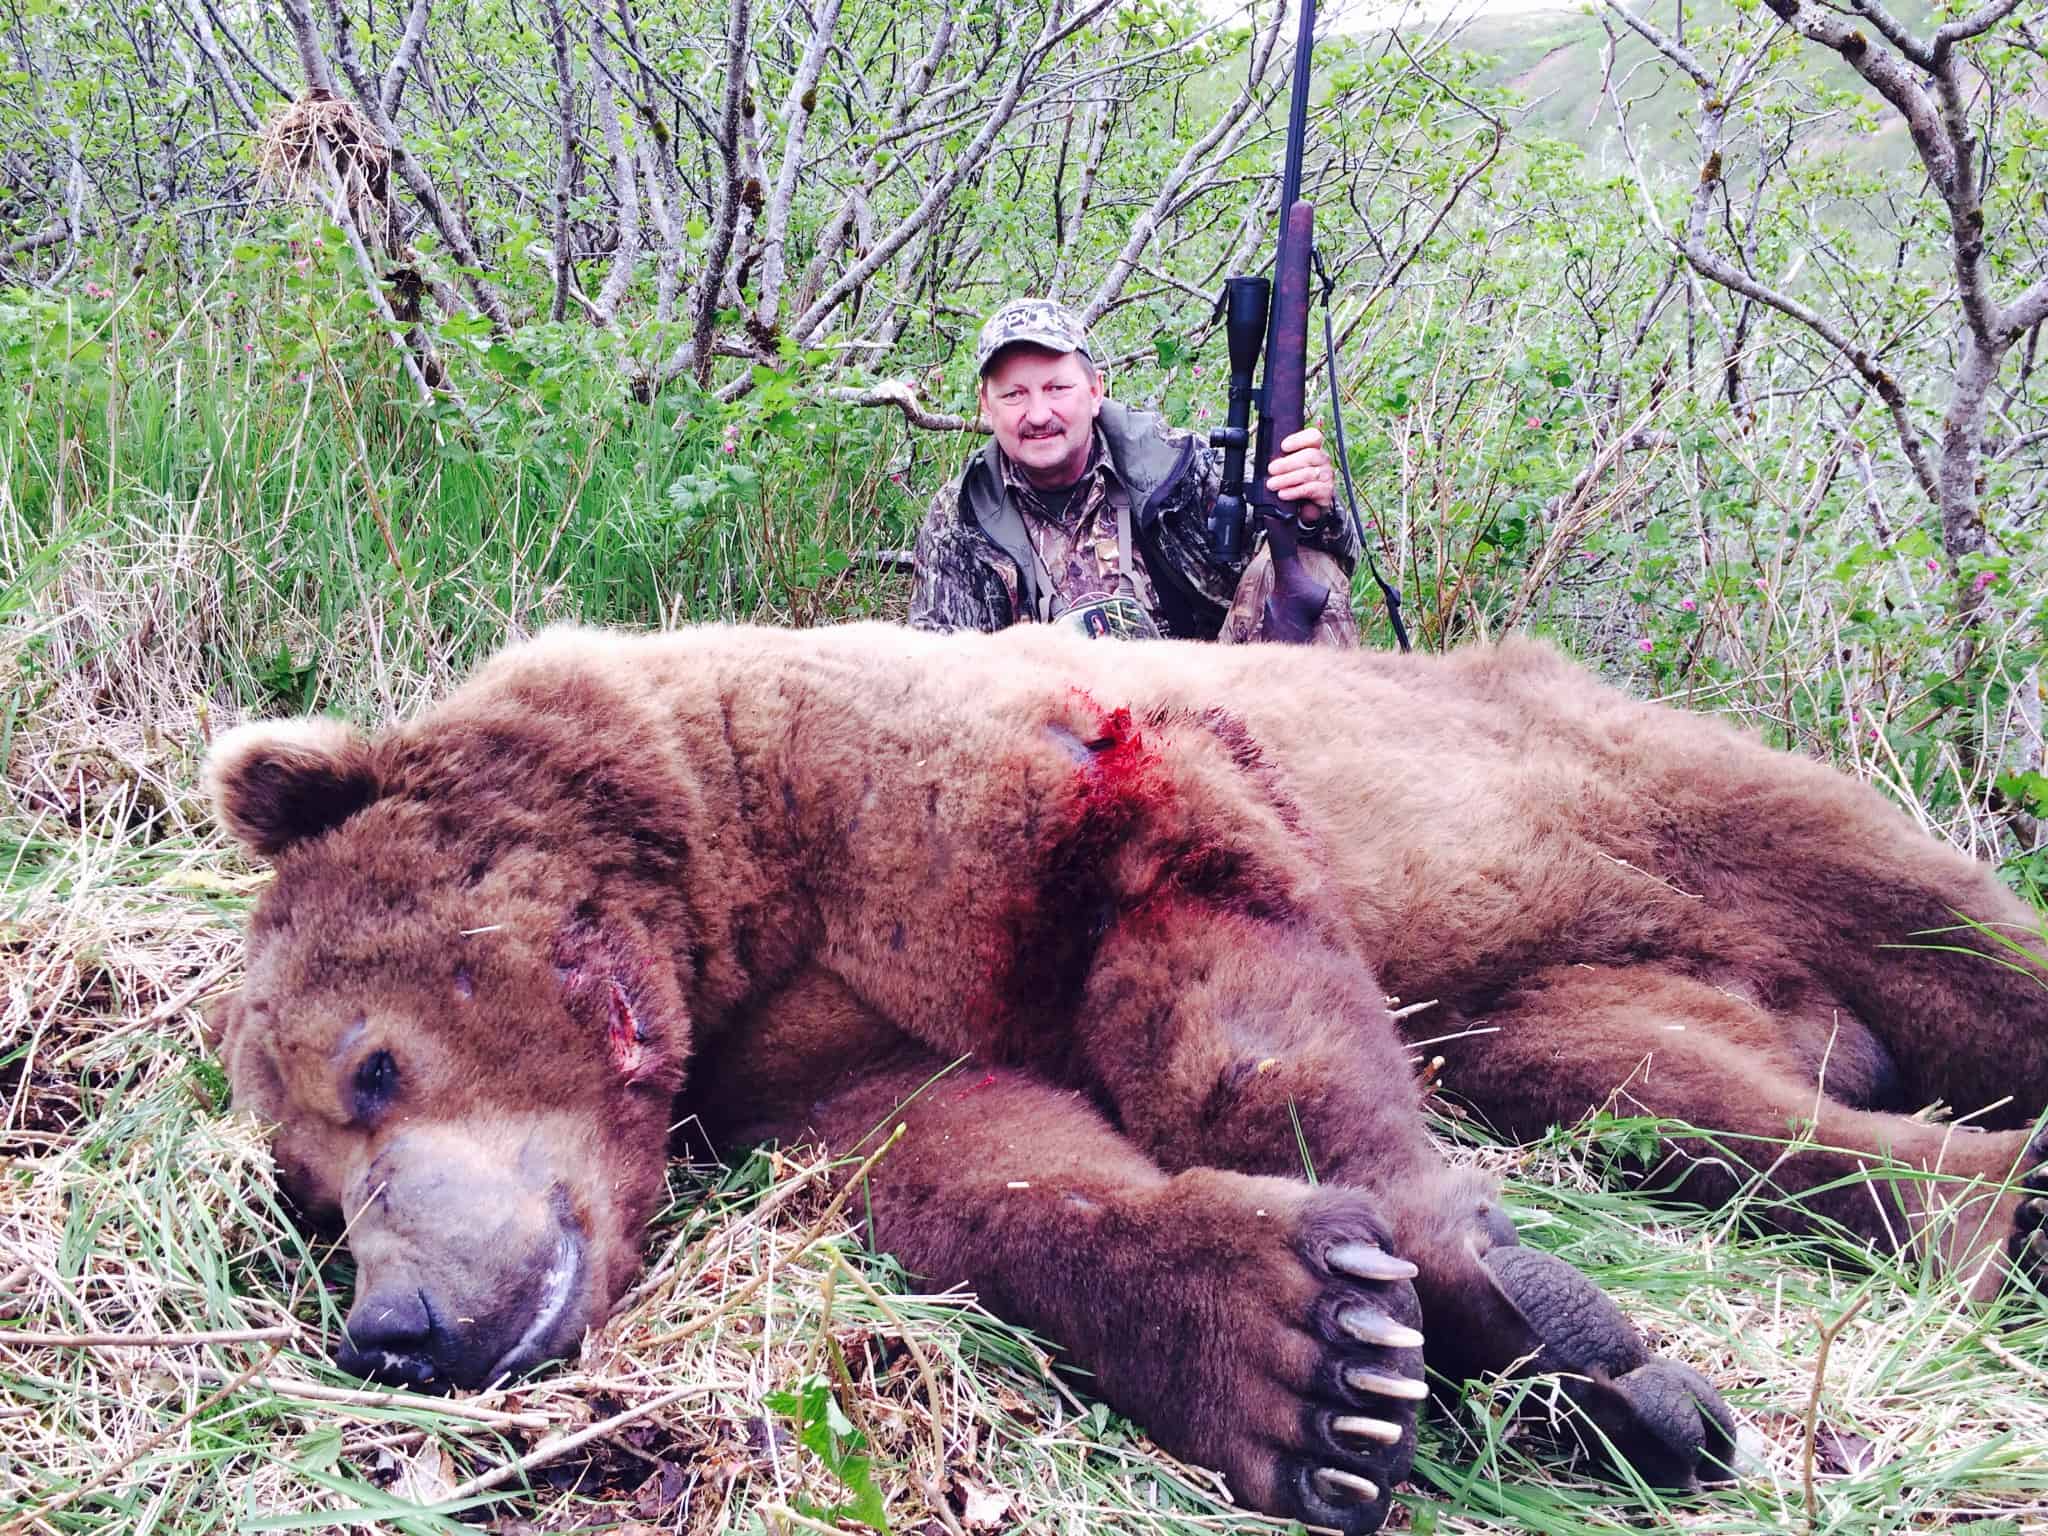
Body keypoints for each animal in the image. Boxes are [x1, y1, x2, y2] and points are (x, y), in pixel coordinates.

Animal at [203, 621, 2048, 1535]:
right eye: (306, 1184)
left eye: (372, 1064)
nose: (395, 1327)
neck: (735, 867)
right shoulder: (816, 1038)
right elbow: (962, 1161)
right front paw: (1308, 1365)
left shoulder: (967, 780)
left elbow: (1205, 932)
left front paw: (1515, 1307)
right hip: (1570, 992)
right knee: (1667, 1086)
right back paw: (1960, 1210)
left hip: (1625, 781)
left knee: (1930, 925)